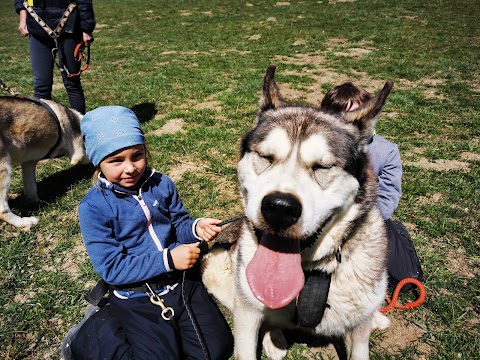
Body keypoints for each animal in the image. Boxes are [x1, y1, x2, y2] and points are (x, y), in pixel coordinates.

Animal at [0, 96, 87, 228]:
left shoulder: (29, 162)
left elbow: (31, 187)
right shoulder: (78, 153)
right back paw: (24, 222)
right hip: (4, 166)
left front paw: (35, 202)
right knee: (2, 210)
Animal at [202, 65, 394, 360]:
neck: (311, 269)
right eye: (266, 157)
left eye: (323, 167)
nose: (280, 208)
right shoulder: (247, 313)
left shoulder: (358, 329)